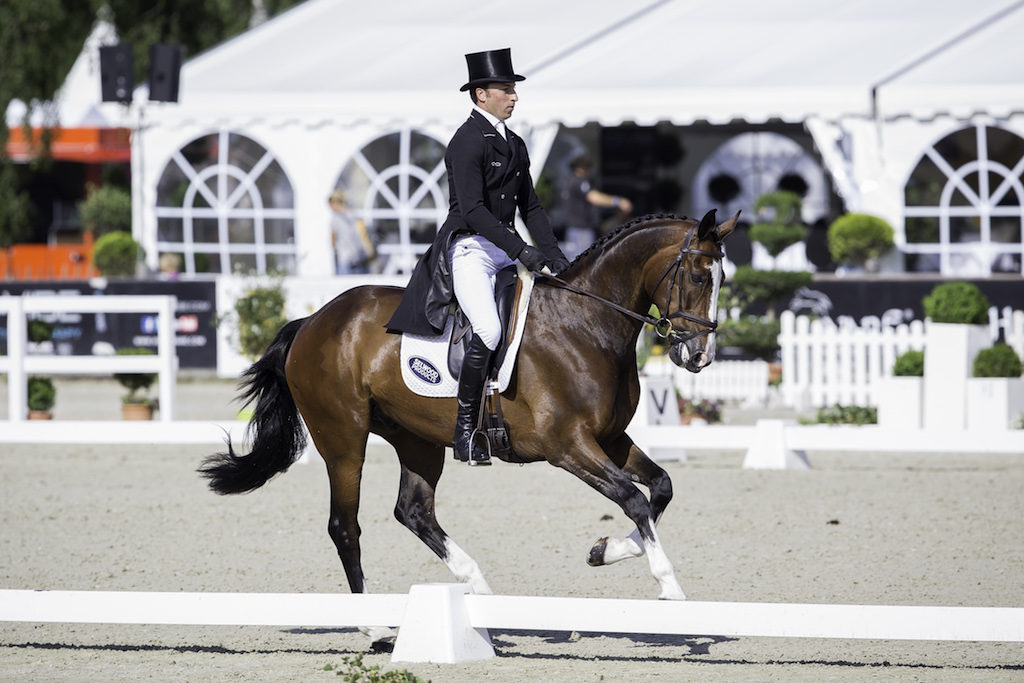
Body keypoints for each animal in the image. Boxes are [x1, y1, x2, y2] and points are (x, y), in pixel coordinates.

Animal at [197, 209, 737, 643]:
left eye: (722, 279)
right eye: (696, 275)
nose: (699, 356)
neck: (586, 323)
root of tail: (312, 322)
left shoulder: (609, 438)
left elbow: (660, 488)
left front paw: (604, 551)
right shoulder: (567, 445)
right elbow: (633, 499)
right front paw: (670, 588)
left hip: (415, 439)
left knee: (414, 511)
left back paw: (481, 597)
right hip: (343, 439)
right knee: (345, 526)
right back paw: (375, 627)